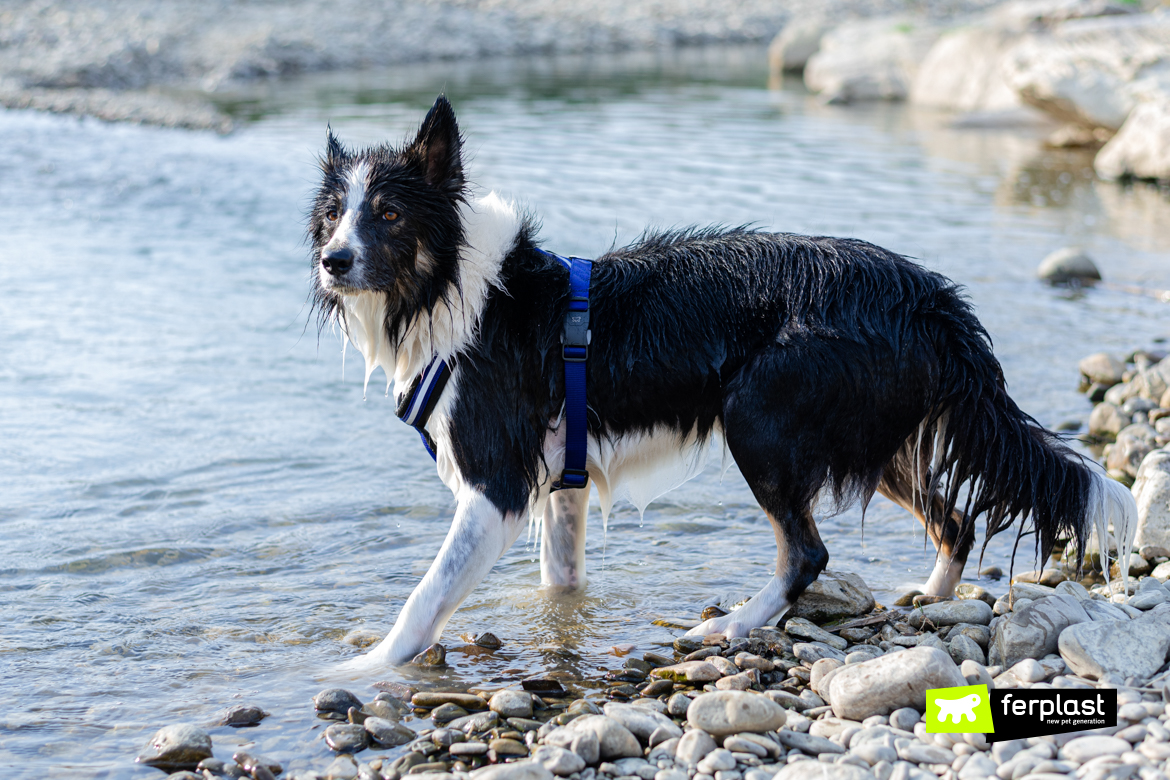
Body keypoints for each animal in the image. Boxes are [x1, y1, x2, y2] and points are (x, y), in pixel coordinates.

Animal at [308, 94, 1132, 668]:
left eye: (388, 213)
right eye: (333, 217)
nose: (332, 261)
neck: (456, 286)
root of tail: (930, 297)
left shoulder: (496, 483)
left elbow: (425, 595)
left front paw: (367, 668)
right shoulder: (562, 483)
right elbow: (560, 582)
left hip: (759, 415)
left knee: (808, 552)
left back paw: (736, 623)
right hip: (872, 429)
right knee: (953, 520)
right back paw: (927, 600)